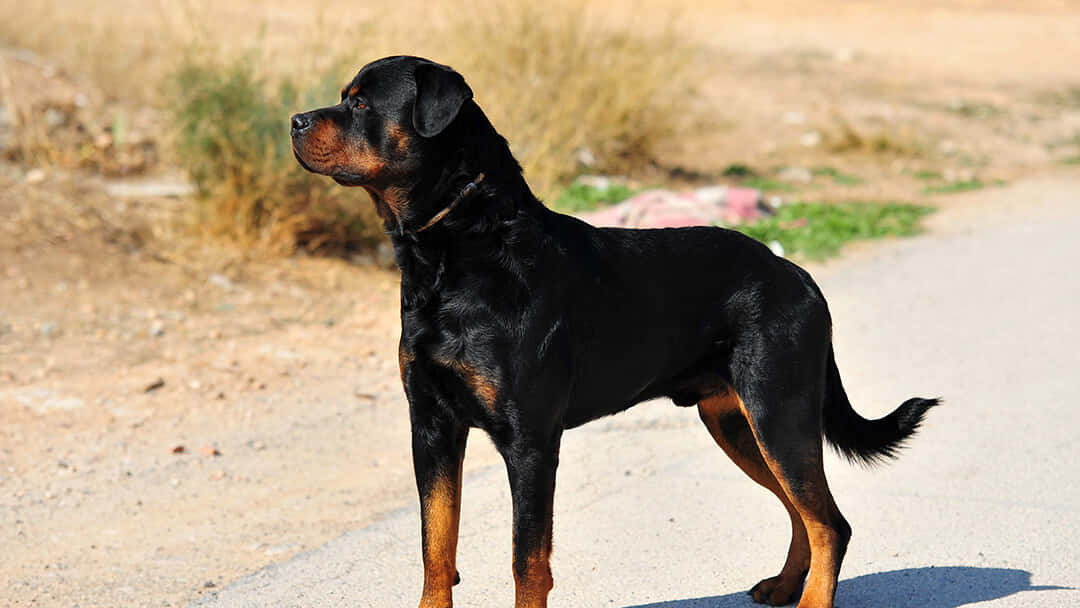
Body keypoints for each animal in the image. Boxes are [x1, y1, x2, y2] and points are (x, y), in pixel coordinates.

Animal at [291, 54, 941, 604]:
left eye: (362, 104)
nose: (294, 120)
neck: (454, 250)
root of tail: (798, 273)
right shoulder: (431, 426)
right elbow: (435, 546)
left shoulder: (530, 442)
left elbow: (527, 560)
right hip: (737, 423)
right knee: (799, 511)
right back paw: (783, 587)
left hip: (778, 413)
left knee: (829, 521)